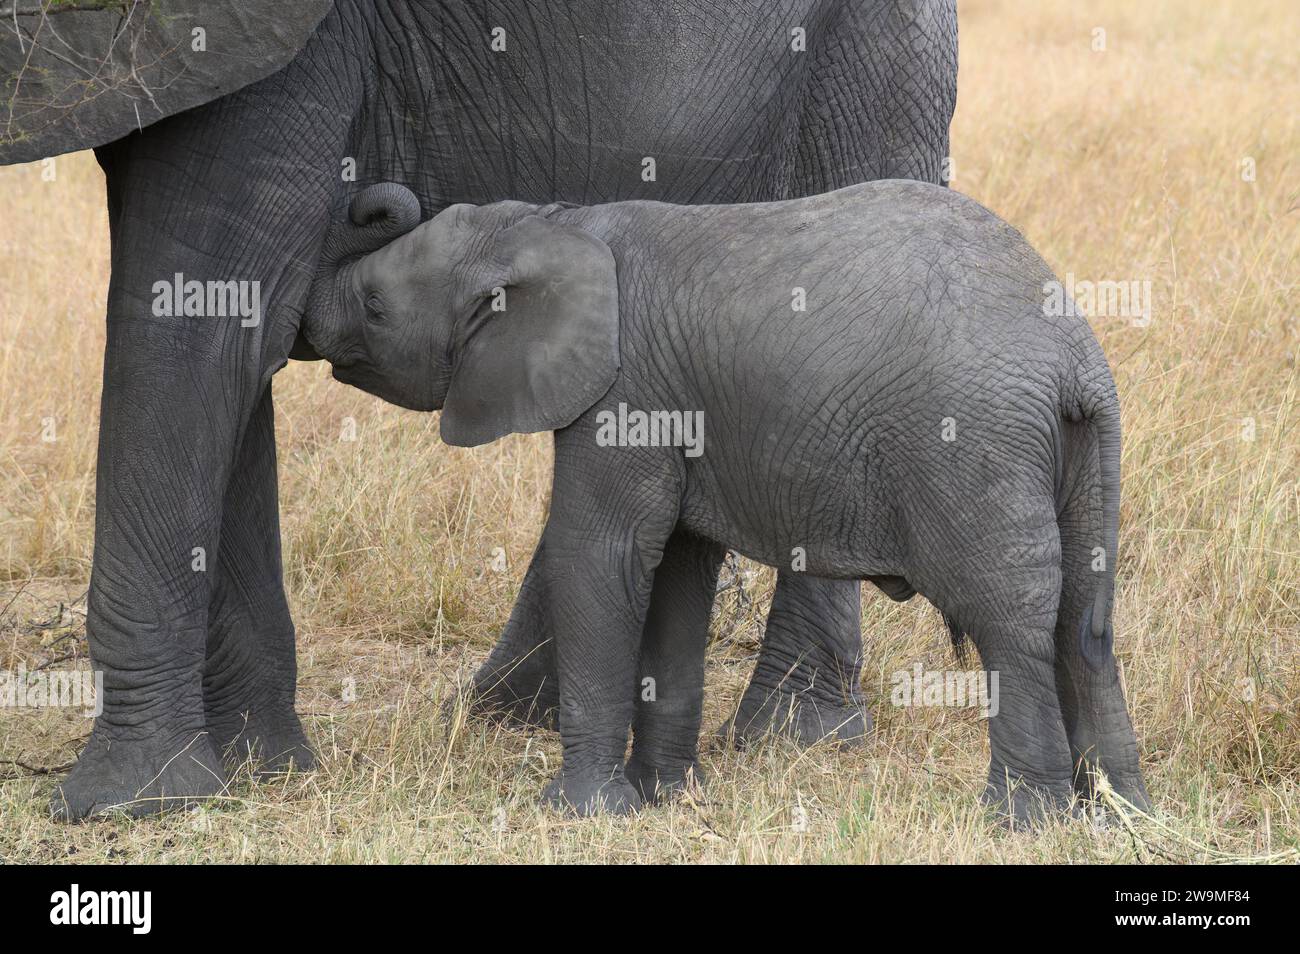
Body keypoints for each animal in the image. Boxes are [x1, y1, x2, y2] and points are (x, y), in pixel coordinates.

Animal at [0, 0, 956, 821]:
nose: (373, 197)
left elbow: (197, 317)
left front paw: (132, 800)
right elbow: (234, 333)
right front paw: (262, 767)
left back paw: (794, 734)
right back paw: (509, 713)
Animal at [301, 183, 1149, 826]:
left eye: (374, 307)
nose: (373, 197)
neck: (549, 221)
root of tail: (1077, 360)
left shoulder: (626, 392)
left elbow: (602, 555)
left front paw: (584, 813)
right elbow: (678, 571)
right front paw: (666, 797)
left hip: (973, 448)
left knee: (1011, 619)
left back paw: (1021, 819)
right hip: (1082, 452)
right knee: (1083, 620)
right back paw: (1120, 817)